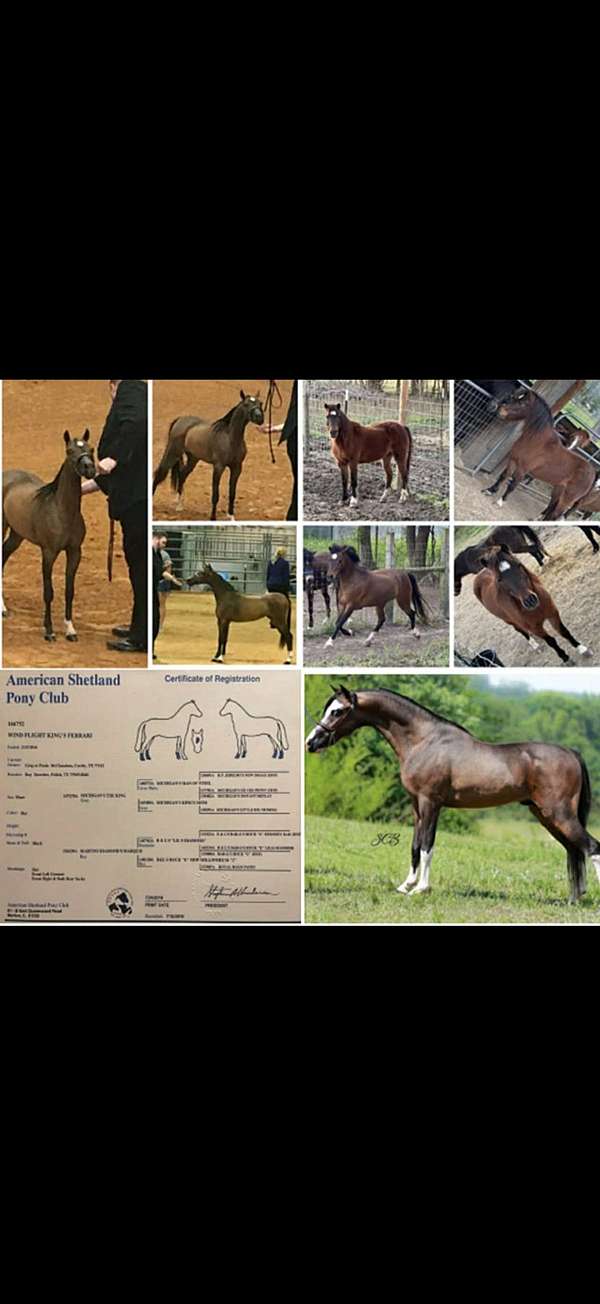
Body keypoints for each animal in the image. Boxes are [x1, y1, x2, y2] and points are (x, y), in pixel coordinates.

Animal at [2, 430, 96, 642]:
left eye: (91, 449)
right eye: (69, 450)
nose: (89, 469)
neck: (62, 511)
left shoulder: (74, 552)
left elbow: (69, 590)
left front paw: (70, 630)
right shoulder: (49, 553)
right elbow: (48, 592)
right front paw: (49, 631)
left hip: (16, 535)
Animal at [153, 391, 265, 520]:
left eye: (260, 403)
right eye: (246, 404)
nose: (260, 418)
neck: (230, 439)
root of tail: (180, 420)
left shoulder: (237, 468)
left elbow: (232, 493)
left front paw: (231, 516)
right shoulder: (218, 467)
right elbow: (215, 494)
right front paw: (213, 517)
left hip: (193, 459)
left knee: (182, 475)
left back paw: (179, 505)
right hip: (172, 453)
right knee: (160, 473)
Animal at [305, 685, 600, 904]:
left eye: (337, 711)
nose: (311, 742)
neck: (424, 741)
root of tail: (571, 752)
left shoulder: (431, 803)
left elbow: (428, 845)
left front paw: (421, 889)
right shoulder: (416, 805)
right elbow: (414, 846)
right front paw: (406, 885)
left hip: (558, 814)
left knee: (592, 848)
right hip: (546, 816)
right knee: (575, 851)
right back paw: (574, 898)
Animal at [482, 387, 596, 519]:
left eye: (523, 403)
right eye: (514, 398)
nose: (499, 410)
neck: (536, 441)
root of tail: (593, 474)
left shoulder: (523, 469)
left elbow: (513, 485)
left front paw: (500, 501)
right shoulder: (512, 460)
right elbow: (503, 476)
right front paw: (490, 490)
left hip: (568, 498)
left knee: (556, 514)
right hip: (558, 490)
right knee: (551, 508)